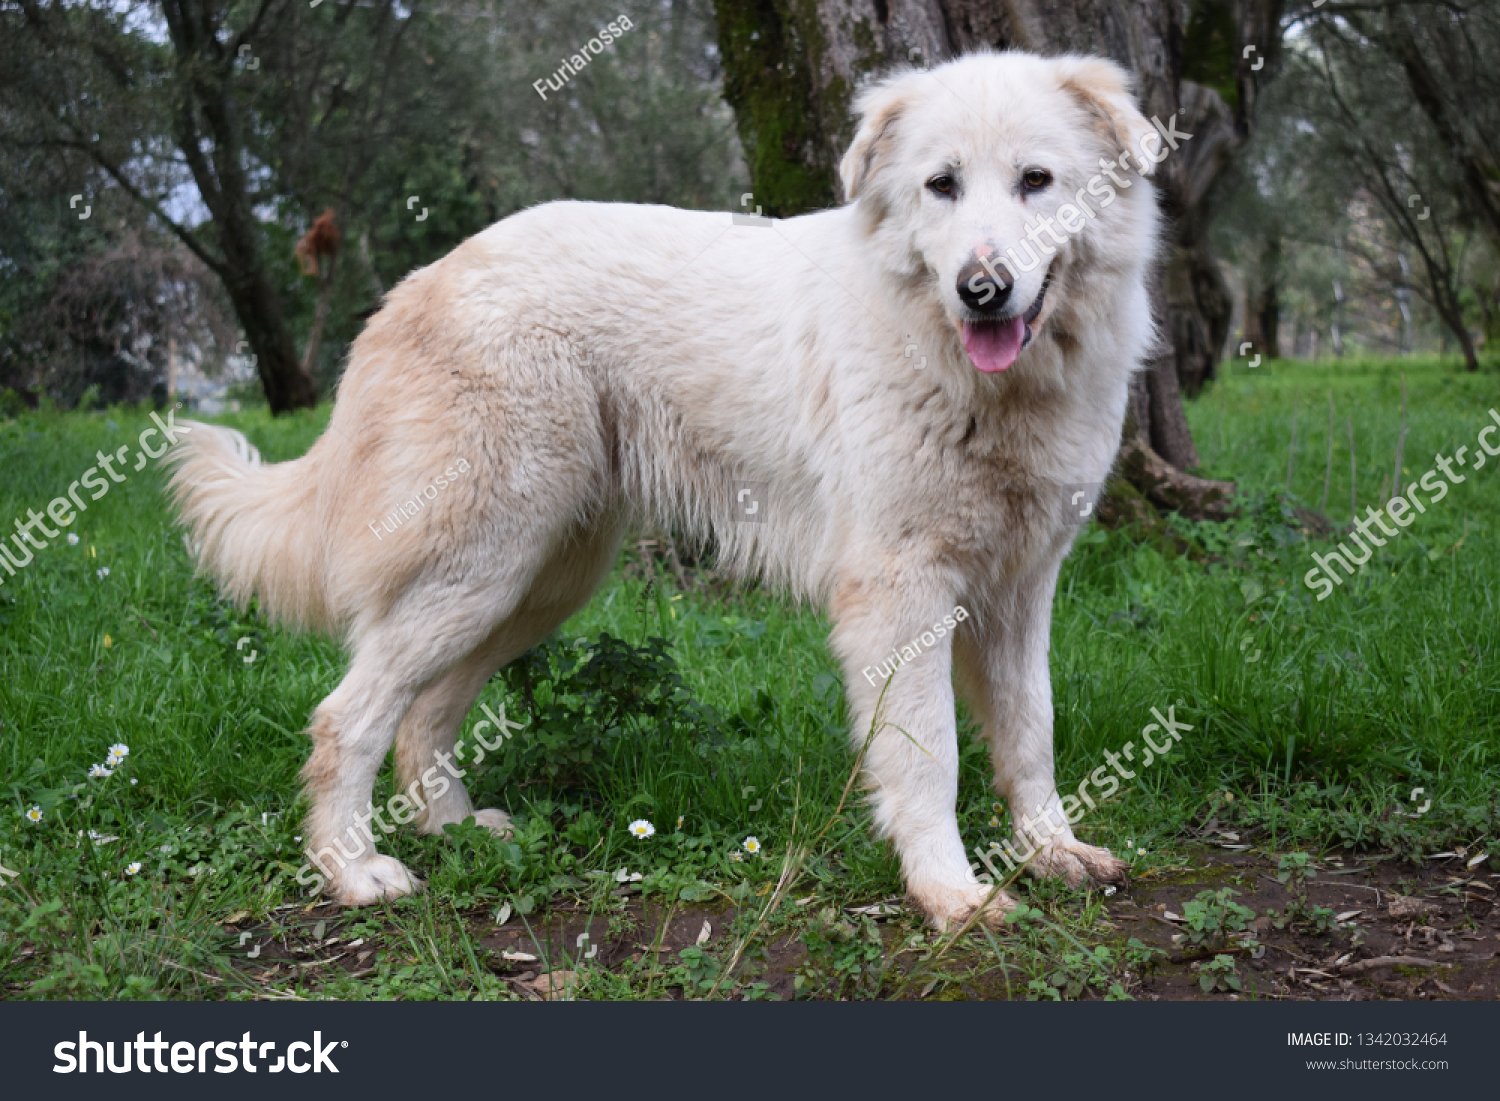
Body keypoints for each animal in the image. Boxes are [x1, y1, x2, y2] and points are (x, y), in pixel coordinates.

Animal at [170, 51, 1164, 930]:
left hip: (535, 582)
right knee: (347, 719)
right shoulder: (901, 594)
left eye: (1036, 180)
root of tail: (418, 282)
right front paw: (951, 897)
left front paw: (1052, 851)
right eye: (942, 185)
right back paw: (356, 872)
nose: (981, 290)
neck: (976, 377)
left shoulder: (1020, 588)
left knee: (422, 716)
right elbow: (931, 762)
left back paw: (458, 832)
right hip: (483, 566)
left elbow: (1031, 734)